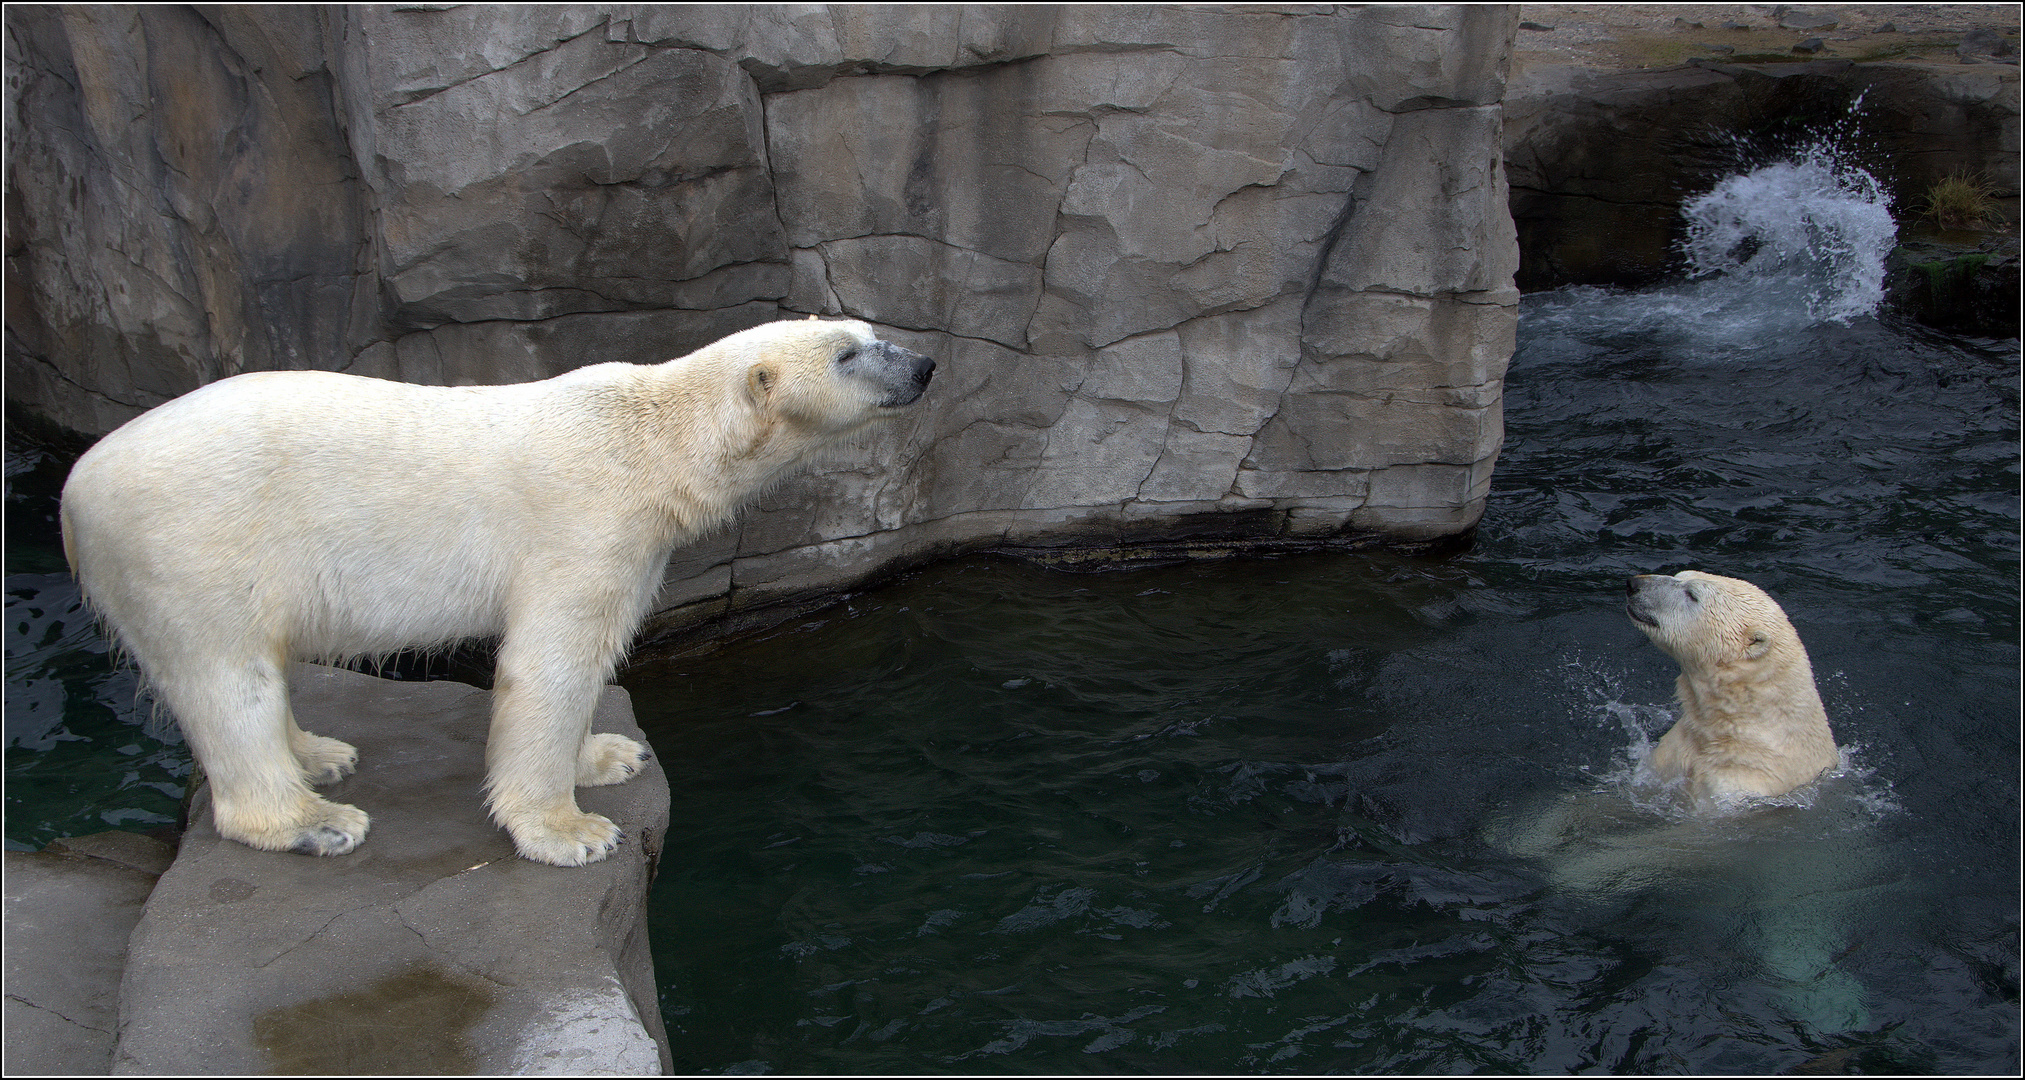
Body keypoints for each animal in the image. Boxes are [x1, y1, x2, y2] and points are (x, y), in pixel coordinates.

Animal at [61, 316, 931, 863]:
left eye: (870, 331)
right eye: (848, 353)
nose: (923, 364)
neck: (649, 441)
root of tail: (73, 492)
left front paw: (608, 754)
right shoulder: (583, 525)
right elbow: (548, 666)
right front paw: (571, 830)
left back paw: (320, 753)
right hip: (191, 548)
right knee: (225, 680)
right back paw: (315, 820)